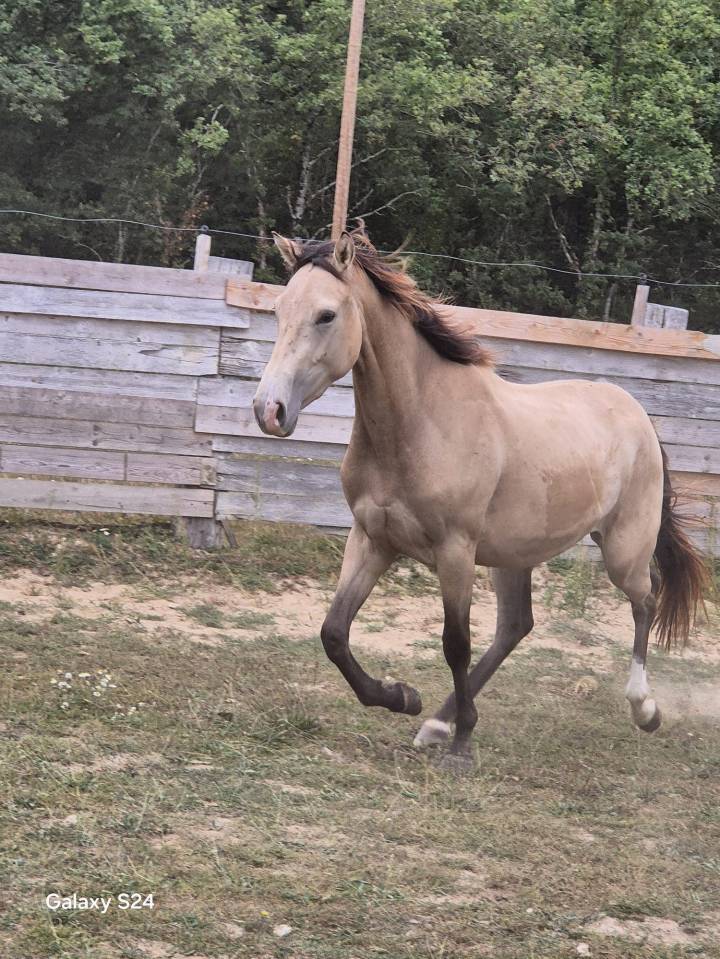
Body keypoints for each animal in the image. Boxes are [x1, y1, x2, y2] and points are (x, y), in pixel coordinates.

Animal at [252, 227, 707, 768]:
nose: (269, 410)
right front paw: (403, 698)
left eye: (326, 315)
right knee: (516, 626)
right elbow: (334, 633)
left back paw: (644, 709)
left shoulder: (455, 550)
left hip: (622, 550)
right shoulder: (372, 540)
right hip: (515, 555)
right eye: (278, 310)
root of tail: (637, 413)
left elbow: (455, 642)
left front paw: (462, 745)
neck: (422, 422)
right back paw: (435, 723)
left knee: (645, 599)